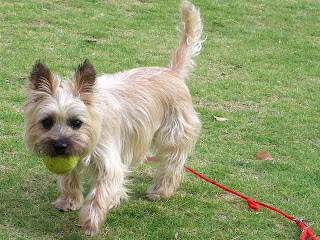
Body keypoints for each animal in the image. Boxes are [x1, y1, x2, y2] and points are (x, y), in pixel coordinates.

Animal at [24, 0, 202, 235]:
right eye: (46, 122)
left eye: (77, 123)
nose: (60, 145)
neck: (95, 124)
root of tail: (171, 72)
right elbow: (70, 178)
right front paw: (69, 202)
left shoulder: (109, 162)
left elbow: (100, 193)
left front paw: (91, 221)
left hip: (173, 135)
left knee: (172, 165)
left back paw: (161, 191)